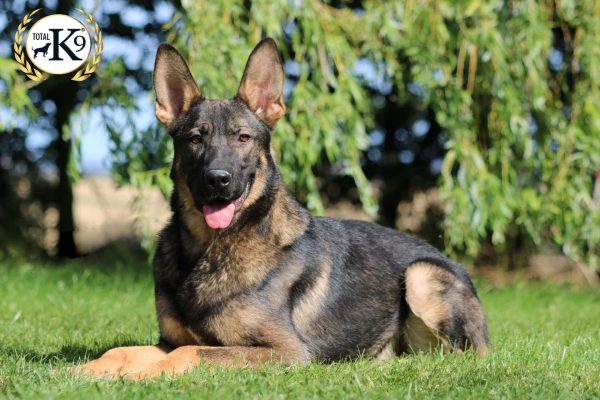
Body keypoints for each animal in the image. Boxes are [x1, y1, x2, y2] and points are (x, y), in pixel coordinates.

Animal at [79, 39, 490, 380]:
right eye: (195, 139)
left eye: (243, 138)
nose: (218, 179)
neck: (207, 250)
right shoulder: (168, 339)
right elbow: (124, 350)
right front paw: (86, 370)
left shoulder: (285, 351)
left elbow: (191, 353)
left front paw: (144, 374)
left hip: (421, 276)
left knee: (459, 357)